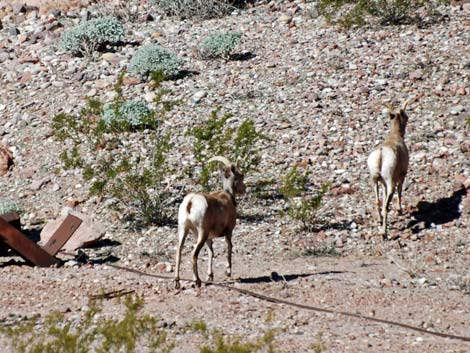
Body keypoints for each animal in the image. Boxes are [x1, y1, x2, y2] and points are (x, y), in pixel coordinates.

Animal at [173, 155, 246, 288]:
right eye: (240, 175)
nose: (244, 189)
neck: (228, 196)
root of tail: (190, 202)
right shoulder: (229, 231)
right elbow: (229, 246)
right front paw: (228, 272)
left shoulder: (209, 237)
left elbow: (211, 252)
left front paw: (210, 276)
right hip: (202, 232)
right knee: (193, 254)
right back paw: (197, 281)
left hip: (184, 229)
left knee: (179, 252)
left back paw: (177, 282)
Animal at [368, 97, 412, 238]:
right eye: (406, 116)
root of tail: (381, 154)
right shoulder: (402, 176)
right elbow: (400, 191)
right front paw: (399, 210)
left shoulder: (382, 183)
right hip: (390, 181)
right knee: (386, 206)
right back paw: (384, 233)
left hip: (374, 181)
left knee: (378, 202)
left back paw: (380, 221)